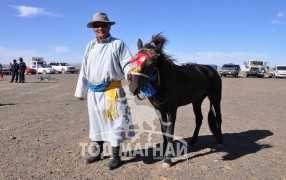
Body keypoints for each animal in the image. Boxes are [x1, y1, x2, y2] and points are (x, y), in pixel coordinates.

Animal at [129, 33, 223, 167]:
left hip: (215, 97)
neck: (164, 82)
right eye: (133, 61)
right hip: (197, 101)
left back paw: (220, 141)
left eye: (151, 63)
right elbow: (164, 131)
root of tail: (211, 70)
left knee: (218, 118)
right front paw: (164, 152)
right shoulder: (159, 110)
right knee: (199, 119)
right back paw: (192, 141)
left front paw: (167, 159)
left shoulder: (172, 110)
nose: (133, 88)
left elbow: (169, 133)